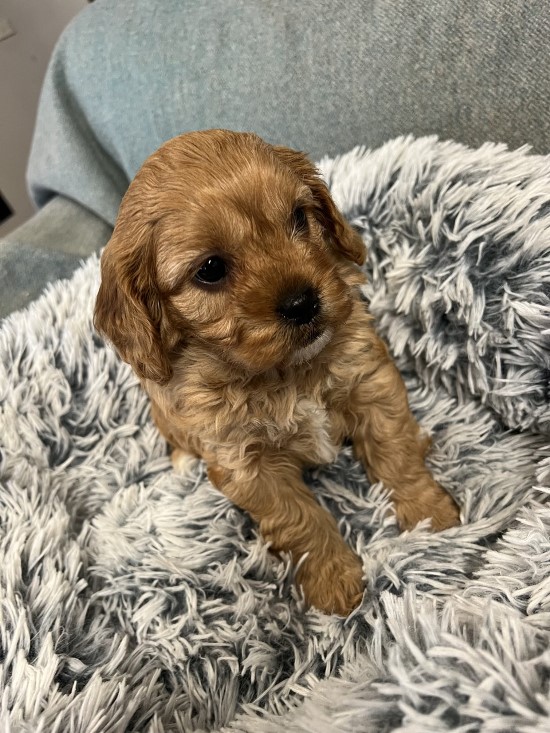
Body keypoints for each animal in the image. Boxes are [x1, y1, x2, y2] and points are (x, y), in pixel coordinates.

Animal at [95, 129, 462, 616]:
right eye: (210, 269)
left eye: (298, 218)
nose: (303, 303)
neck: (285, 373)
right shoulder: (249, 466)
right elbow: (300, 520)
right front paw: (334, 581)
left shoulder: (371, 384)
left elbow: (395, 453)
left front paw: (430, 517)